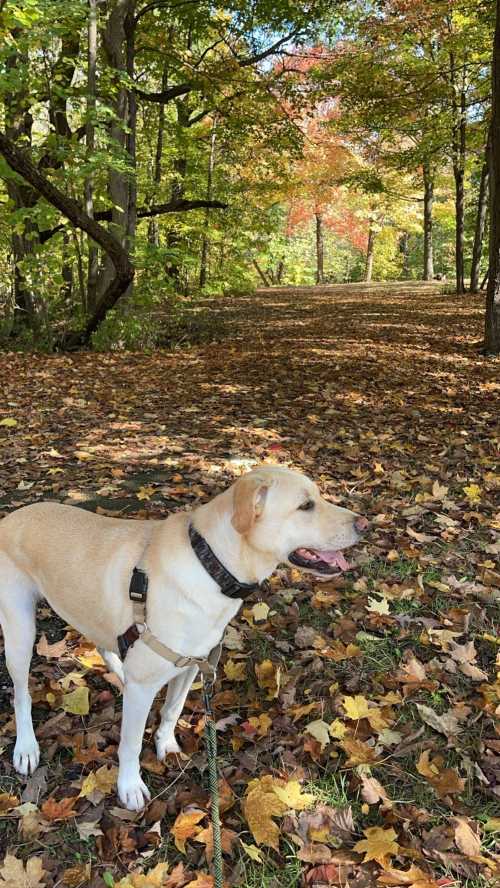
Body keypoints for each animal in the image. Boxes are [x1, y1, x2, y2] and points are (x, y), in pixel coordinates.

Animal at [0, 464, 368, 812]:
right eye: (305, 506)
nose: (364, 524)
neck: (211, 565)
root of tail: (9, 518)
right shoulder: (151, 682)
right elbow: (131, 743)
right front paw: (129, 785)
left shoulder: (192, 664)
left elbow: (172, 710)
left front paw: (166, 745)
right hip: (20, 630)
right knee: (21, 695)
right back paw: (27, 746)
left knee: (106, 647)